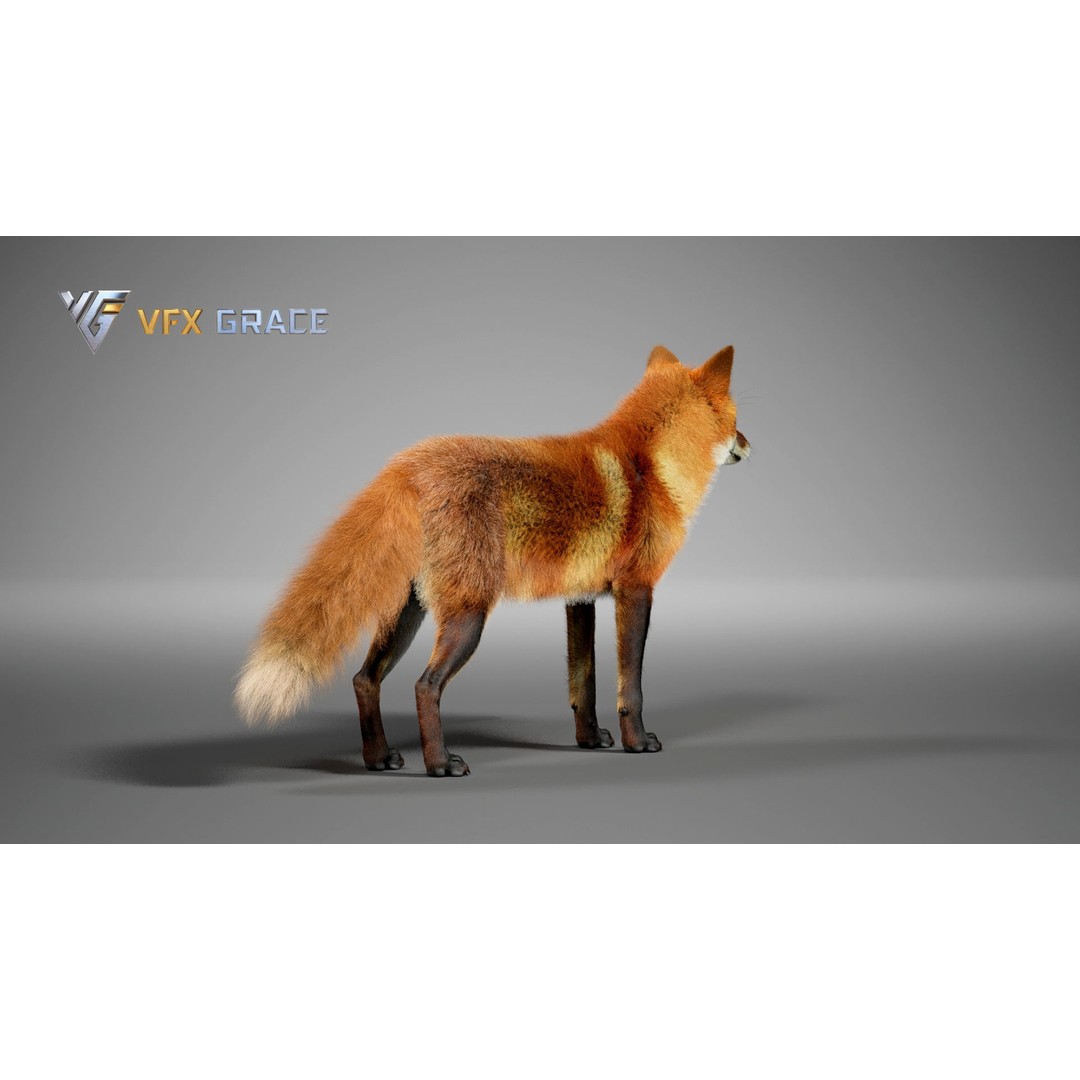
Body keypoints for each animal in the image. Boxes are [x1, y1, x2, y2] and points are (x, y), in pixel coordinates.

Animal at [234, 343, 750, 777]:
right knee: (425, 686)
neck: (654, 467)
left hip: (407, 615)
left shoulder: (579, 598)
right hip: (469, 615)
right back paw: (440, 765)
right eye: (736, 418)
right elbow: (632, 687)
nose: (749, 444)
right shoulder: (635, 590)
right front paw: (637, 742)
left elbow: (582, 684)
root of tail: (407, 464)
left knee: (365, 680)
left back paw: (378, 759)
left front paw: (588, 741)